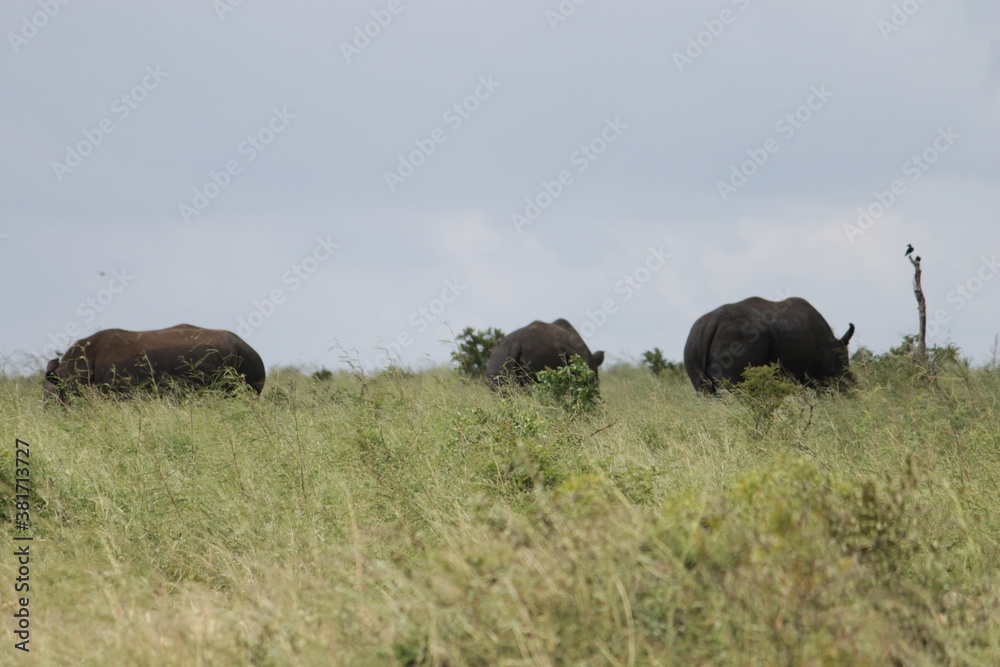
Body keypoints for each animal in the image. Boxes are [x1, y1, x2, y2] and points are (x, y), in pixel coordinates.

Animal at [684, 296, 856, 394]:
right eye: (839, 371)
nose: (851, 387)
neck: (830, 346)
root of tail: (712, 323)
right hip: (738, 338)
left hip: (694, 339)